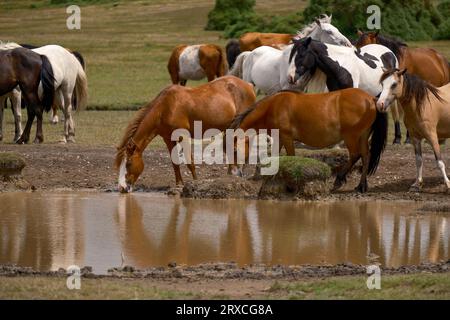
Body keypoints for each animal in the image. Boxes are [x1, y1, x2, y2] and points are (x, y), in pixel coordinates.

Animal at [116, 75, 256, 192]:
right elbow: (175, 162)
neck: (165, 108)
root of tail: (249, 86)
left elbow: (190, 162)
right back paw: (231, 175)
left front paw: (195, 183)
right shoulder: (168, 139)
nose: (122, 188)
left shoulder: (183, 136)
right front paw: (179, 184)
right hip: (230, 128)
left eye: (128, 163)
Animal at [230, 88, 388, 192]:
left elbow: (291, 156)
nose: (233, 172)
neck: (272, 107)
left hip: (351, 137)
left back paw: (339, 180)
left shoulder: (286, 137)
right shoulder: (279, 137)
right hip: (362, 136)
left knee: (355, 154)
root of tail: (371, 99)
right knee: (366, 155)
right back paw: (361, 185)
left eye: (235, 150)